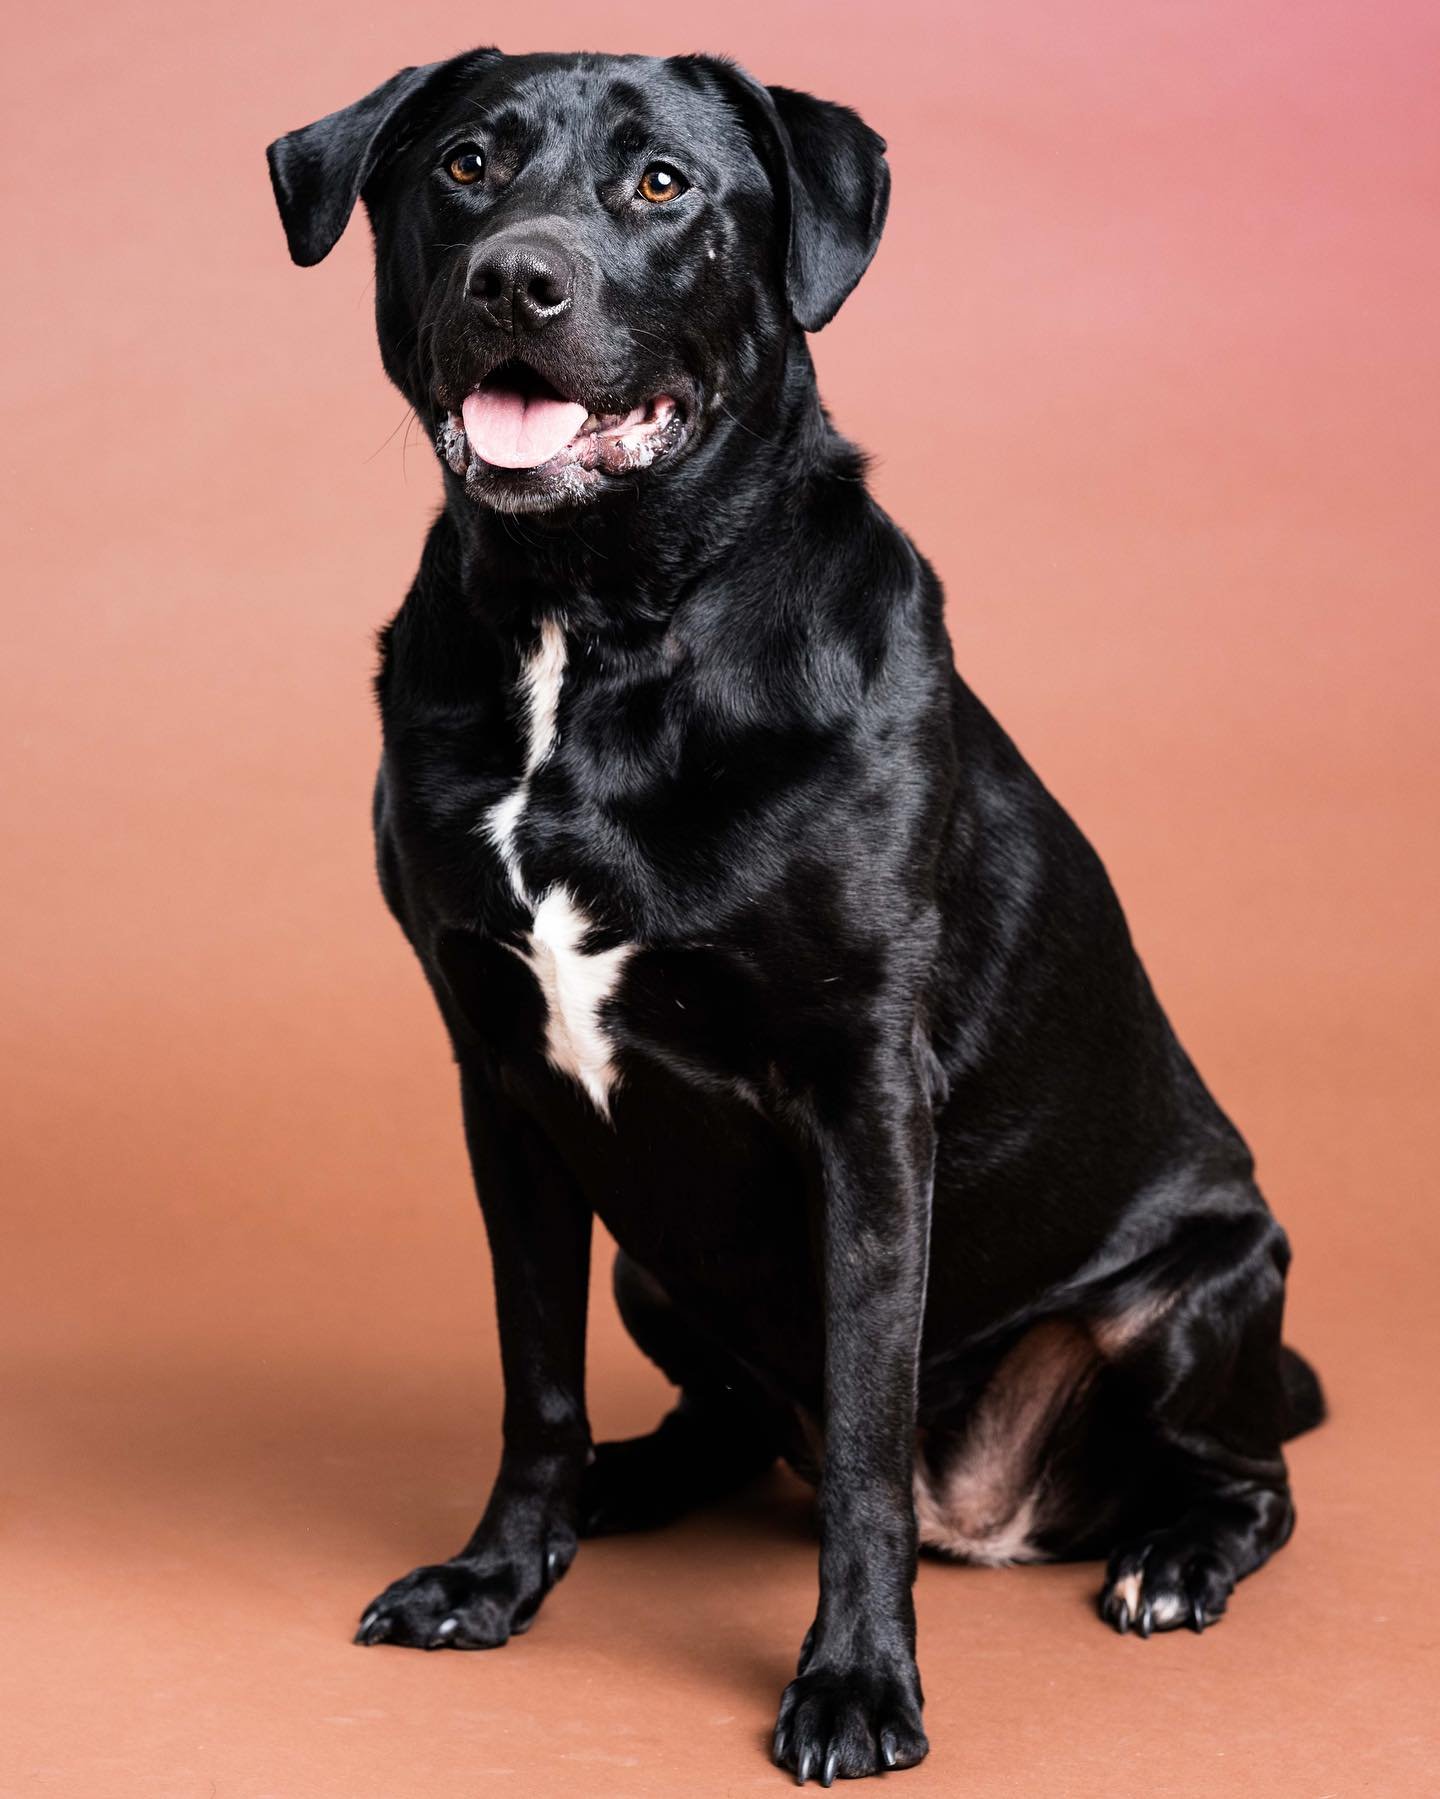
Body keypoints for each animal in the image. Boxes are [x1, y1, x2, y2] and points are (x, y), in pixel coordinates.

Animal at [264, 45, 1324, 1784]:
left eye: (663, 185)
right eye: (467, 165)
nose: (517, 280)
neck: (591, 625)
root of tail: (994, 1514)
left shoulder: (864, 1102)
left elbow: (865, 1444)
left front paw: (855, 1681)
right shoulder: (506, 1087)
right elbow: (535, 1381)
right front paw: (499, 1571)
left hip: (1203, 1285)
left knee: (1237, 1475)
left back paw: (1174, 1552)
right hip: (651, 1254)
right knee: (727, 1424)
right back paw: (620, 1487)